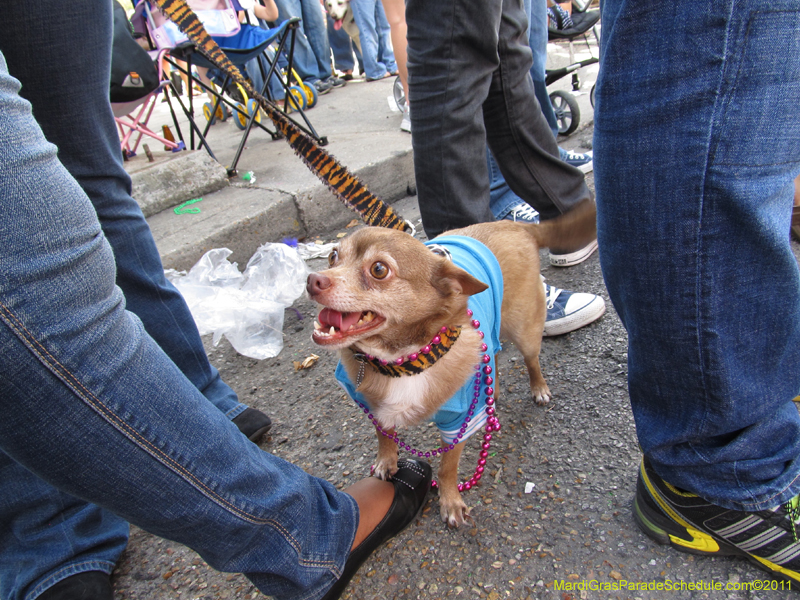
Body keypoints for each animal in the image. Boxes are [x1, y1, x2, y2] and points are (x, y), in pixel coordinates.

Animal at [306, 200, 600, 524]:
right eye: (333, 256)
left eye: (379, 269)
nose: (313, 280)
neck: (400, 361)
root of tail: (514, 226)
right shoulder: (374, 408)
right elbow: (384, 436)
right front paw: (386, 461)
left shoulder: (458, 422)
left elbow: (448, 467)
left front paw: (450, 501)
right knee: (493, 353)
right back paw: (493, 390)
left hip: (524, 329)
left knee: (531, 360)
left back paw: (539, 388)